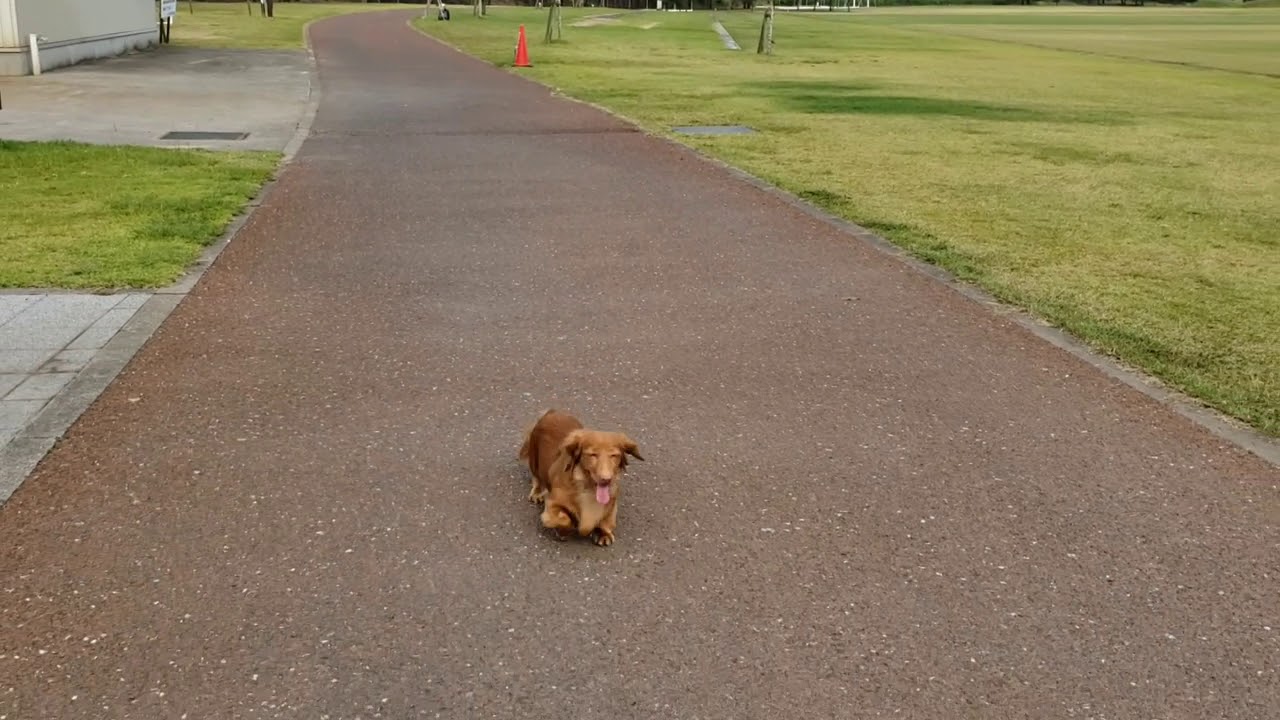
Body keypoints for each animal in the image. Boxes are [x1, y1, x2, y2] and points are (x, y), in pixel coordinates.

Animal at [517, 409, 645, 543]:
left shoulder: (611, 502)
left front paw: (603, 533)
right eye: (593, 454)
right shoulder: (552, 504)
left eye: (614, 455)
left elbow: (607, 520)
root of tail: (552, 412)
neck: (589, 489)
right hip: (534, 460)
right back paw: (537, 493)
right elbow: (564, 518)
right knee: (537, 478)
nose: (606, 479)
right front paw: (563, 531)